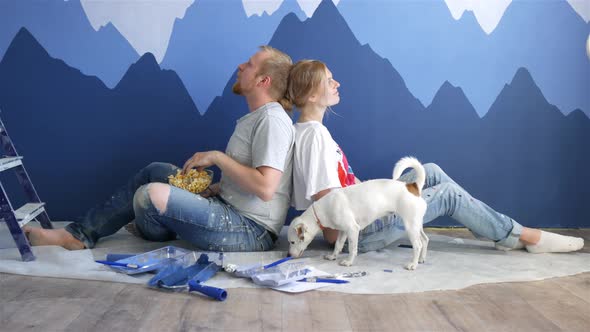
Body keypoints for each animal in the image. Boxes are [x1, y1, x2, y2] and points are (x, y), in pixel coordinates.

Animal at [288, 156, 430, 270]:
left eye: (292, 242)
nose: (288, 255)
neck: (321, 210)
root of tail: (413, 186)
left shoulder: (352, 229)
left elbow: (352, 248)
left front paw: (348, 262)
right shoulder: (343, 231)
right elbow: (338, 245)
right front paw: (333, 256)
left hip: (410, 226)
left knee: (417, 245)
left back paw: (413, 264)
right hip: (416, 225)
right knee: (424, 239)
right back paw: (421, 259)